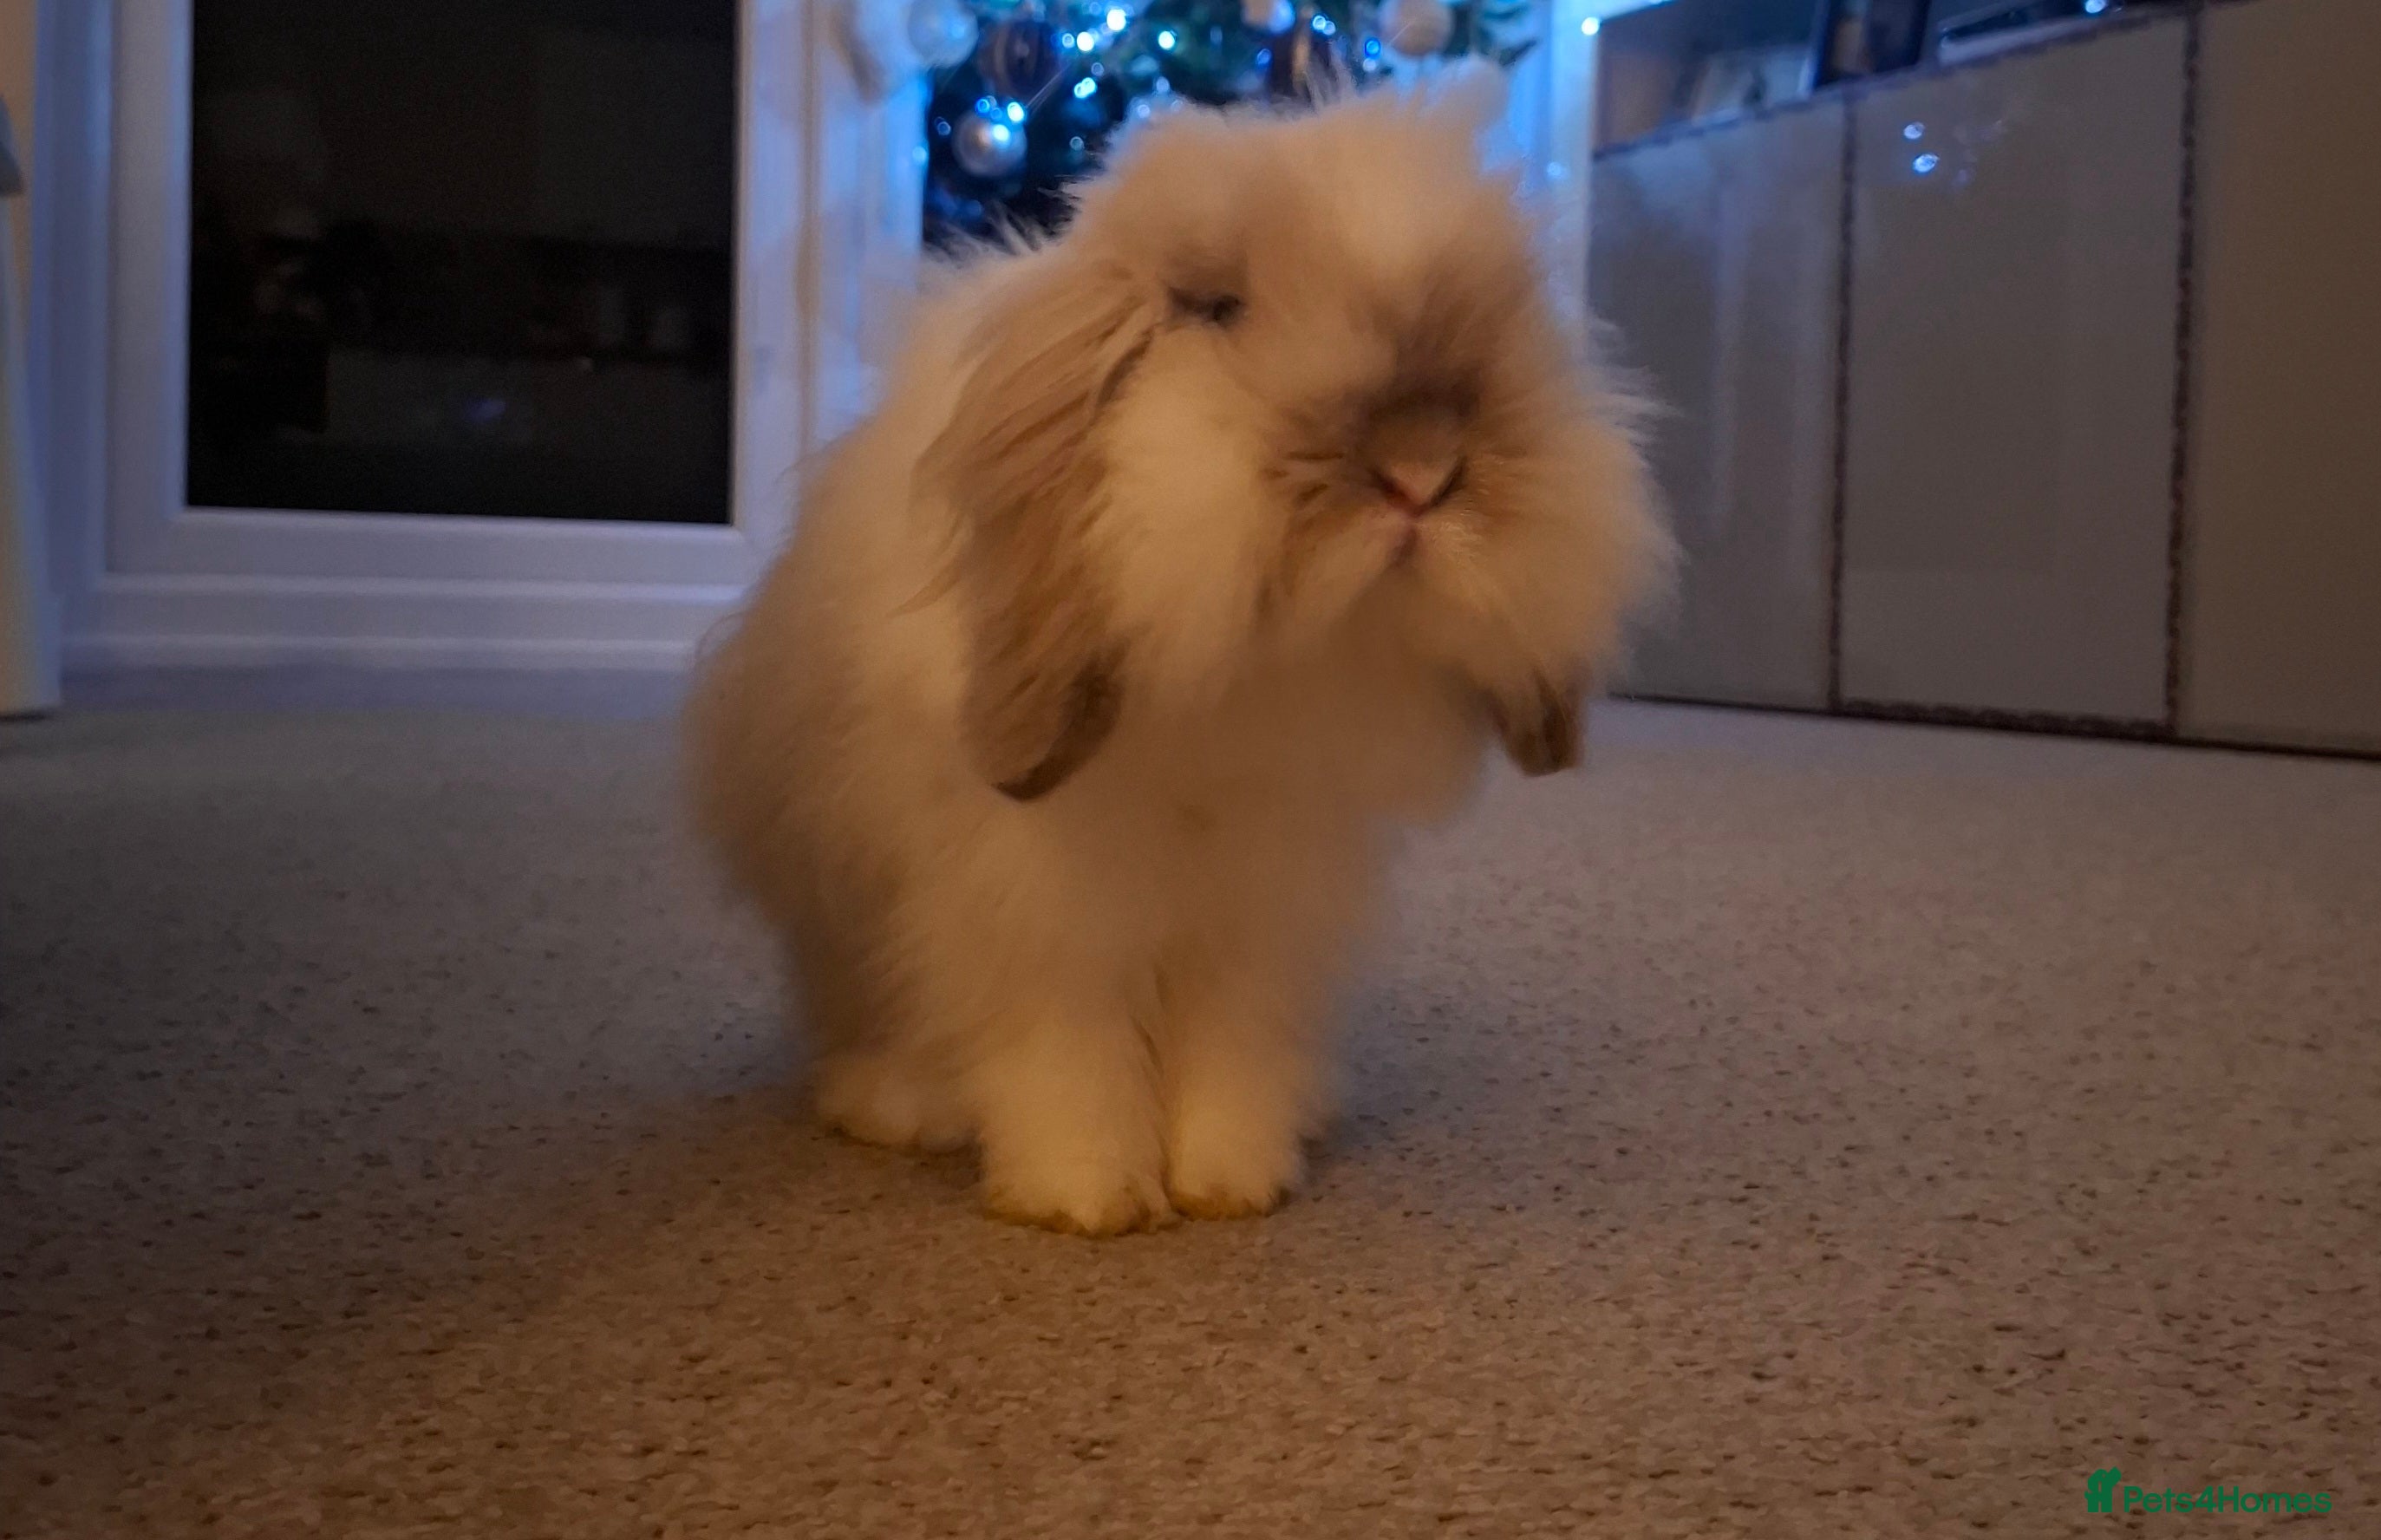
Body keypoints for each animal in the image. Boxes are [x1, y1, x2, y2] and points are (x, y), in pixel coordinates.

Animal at [687, 89, 1669, 1235]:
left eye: (1505, 315)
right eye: (1217, 309)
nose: (1421, 468)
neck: (1249, 676)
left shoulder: (1265, 898)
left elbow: (1231, 1039)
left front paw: (1232, 1182)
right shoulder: (1040, 902)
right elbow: (1065, 1043)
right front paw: (1086, 1198)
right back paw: (897, 1105)